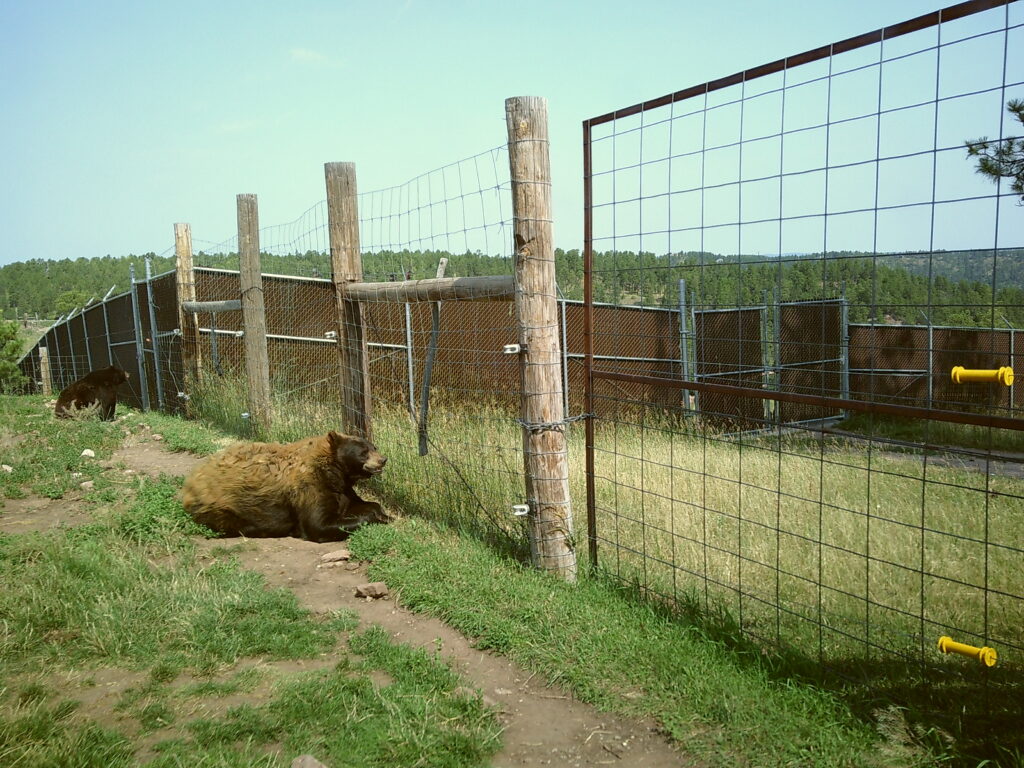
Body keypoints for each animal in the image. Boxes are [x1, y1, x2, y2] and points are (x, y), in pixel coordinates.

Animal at [180, 430, 387, 544]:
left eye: (374, 446)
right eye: (363, 452)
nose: (383, 459)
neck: (334, 471)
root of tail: (191, 480)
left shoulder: (341, 489)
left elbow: (357, 504)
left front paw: (382, 513)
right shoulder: (309, 488)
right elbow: (318, 524)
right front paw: (375, 518)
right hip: (221, 505)